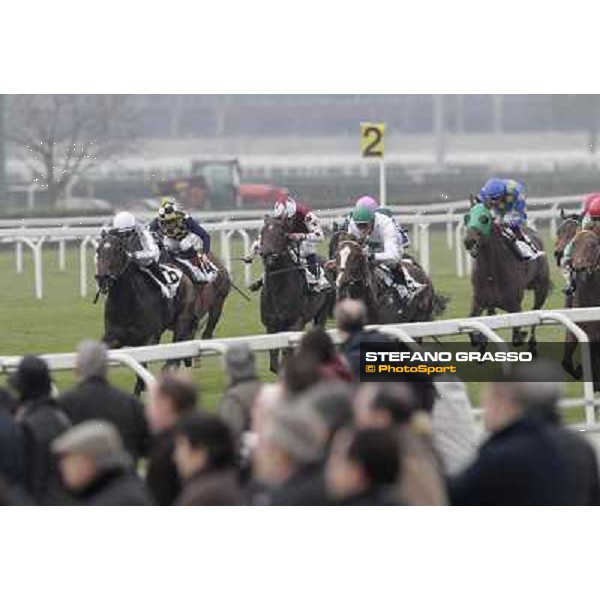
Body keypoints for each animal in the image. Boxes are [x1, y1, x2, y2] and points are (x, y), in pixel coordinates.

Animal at [97, 231, 231, 394]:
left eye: (119, 250)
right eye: (98, 251)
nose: (102, 278)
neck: (127, 303)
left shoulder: (150, 338)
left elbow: (142, 372)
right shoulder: (113, 337)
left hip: (203, 311)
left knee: (189, 342)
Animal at [256, 217, 336, 370]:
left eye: (280, 232)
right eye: (262, 232)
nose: (266, 253)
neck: (278, 290)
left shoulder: (295, 323)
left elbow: (288, 355)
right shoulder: (271, 326)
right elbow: (274, 364)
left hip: (321, 313)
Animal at [462, 203, 552, 352]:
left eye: (484, 219)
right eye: (467, 217)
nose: (469, 241)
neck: (492, 273)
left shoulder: (515, 306)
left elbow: (517, 336)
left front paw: (522, 335)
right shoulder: (479, 301)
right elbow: (471, 326)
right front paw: (480, 340)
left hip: (541, 288)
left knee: (536, 311)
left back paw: (532, 344)